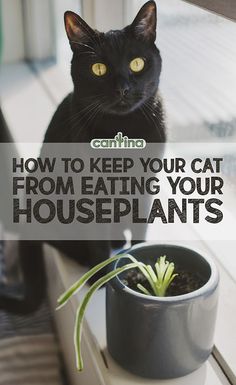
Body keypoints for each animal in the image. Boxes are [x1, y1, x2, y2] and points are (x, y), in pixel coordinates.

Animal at [0, 0, 166, 314]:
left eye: (137, 64)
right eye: (98, 69)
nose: (123, 89)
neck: (123, 132)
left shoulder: (145, 187)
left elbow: (140, 230)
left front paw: (139, 266)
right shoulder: (89, 194)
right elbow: (97, 241)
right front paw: (101, 278)